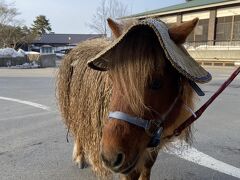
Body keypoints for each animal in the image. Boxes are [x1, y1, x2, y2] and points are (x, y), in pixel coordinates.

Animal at [57, 17, 198, 179]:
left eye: (157, 83)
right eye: (112, 78)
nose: (110, 157)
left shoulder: (150, 148)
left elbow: (147, 169)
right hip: (76, 106)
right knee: (79, 129)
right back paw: (80, 157)